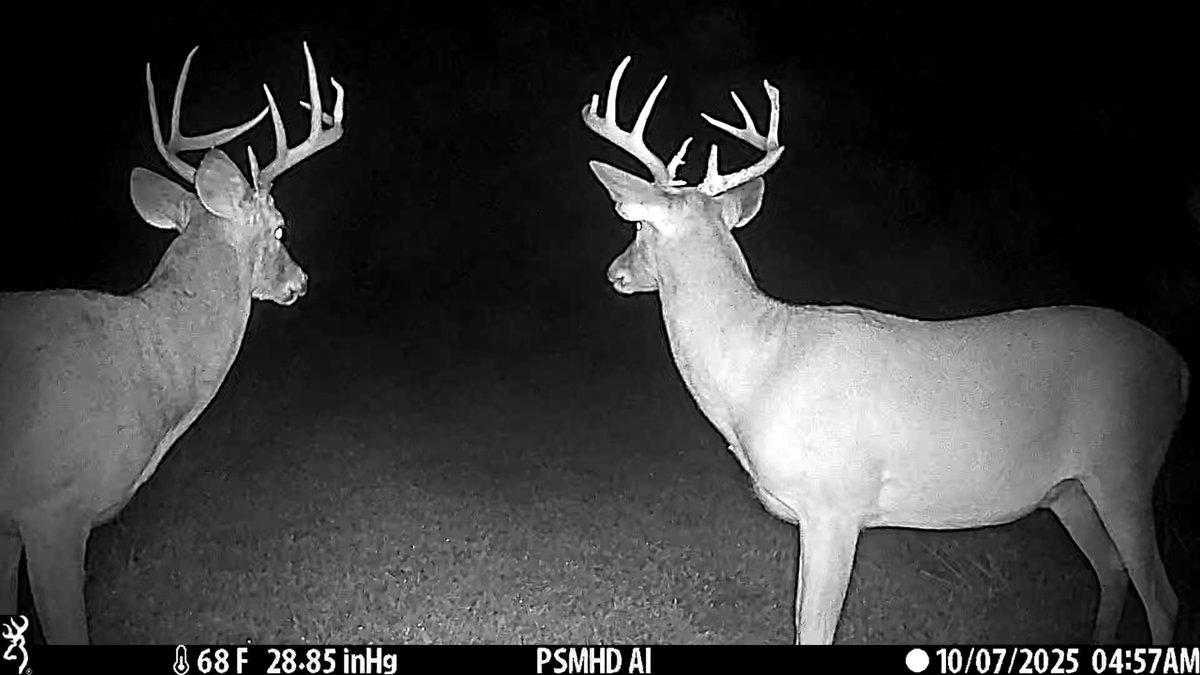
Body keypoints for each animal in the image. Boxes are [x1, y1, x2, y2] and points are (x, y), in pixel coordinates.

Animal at [581, 55, 1188, 645]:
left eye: (637, 226)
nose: (615, 273)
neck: (759, 370)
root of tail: (1179, 368)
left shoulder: (836, 504)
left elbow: (814, 628)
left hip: (1124, 468)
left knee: (1162, 596)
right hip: (1068, 491)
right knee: (1112, 570)